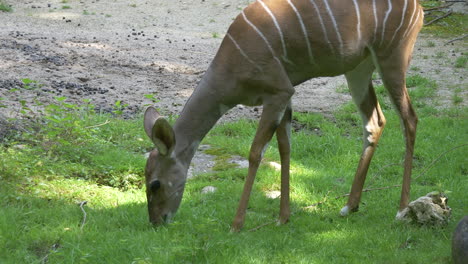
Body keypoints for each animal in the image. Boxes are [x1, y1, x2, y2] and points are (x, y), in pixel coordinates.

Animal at [143, 0, 424, 231]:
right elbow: (284, 147)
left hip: (393, 58)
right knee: (375, 122)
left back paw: (402, 209)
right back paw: (349, 206)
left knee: (410, 119)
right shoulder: (285, 95)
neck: (231, 68)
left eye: (155, 183)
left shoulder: (277, 92)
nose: (156, 221)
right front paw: (282, 218)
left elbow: (256, 152)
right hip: (358, 68)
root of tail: (419, 8)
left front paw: (236, 224)